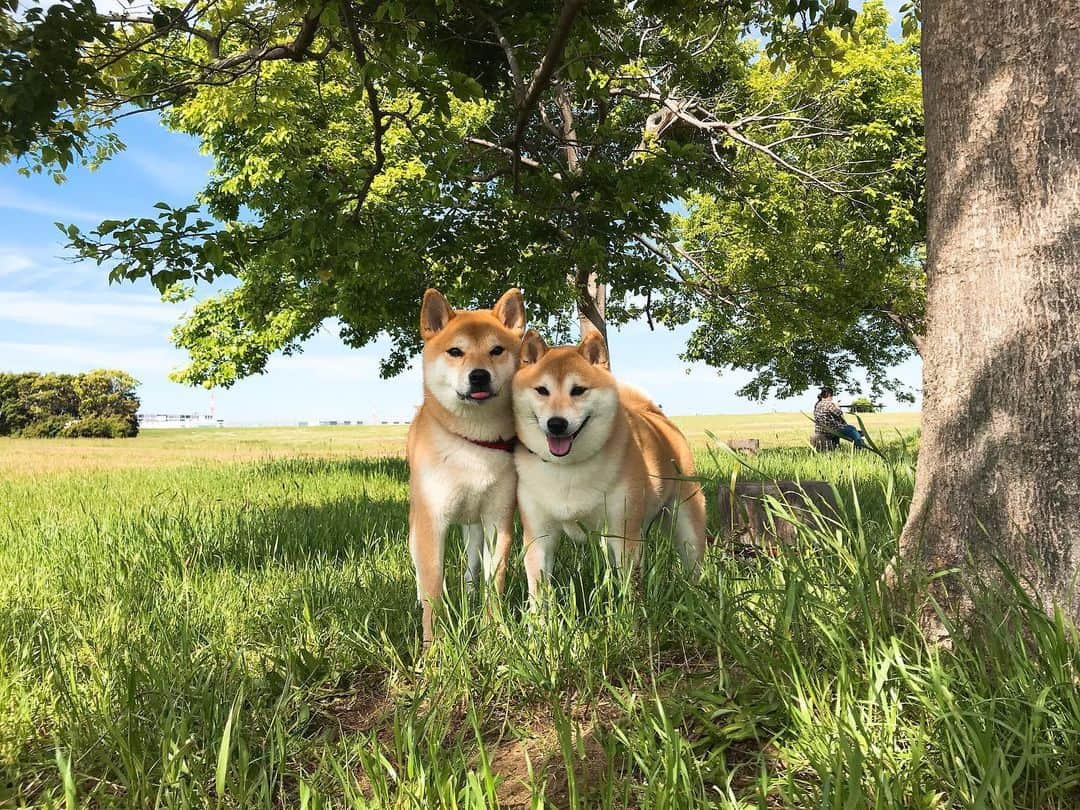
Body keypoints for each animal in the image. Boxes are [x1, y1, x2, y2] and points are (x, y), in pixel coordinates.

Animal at [406, 289, 524, 643]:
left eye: (496, 350)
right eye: (455, 351)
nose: (479, 375)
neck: (473, 442)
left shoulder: (498, 519)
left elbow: (494, 581)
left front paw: (493, 630)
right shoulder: (432, 521)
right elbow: (432, 587)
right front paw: (433, 646)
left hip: (474, 526)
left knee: (472, 562)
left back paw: (470, 594)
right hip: (416, 521)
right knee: (421, 570)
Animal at [511, 330, 708, 604]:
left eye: (578, 390)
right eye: (542, 390)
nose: (556, 423)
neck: (567, 468)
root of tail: (659, 419)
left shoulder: (622, 532)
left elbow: (630, 584)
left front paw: (631, 613)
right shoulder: (539, 534)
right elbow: (538, 589)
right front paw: (538, 617)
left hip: (685, 518)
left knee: (693, 561)